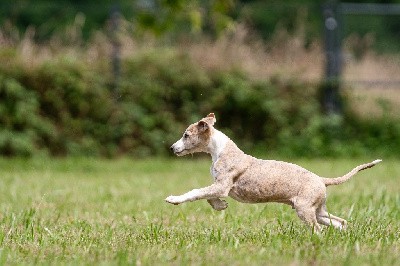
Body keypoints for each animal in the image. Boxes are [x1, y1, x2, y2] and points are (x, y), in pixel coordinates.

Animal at [165, 113, 382, 232]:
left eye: (186, 135)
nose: (172, 148)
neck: (219, 150)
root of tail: (321, 179)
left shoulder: (222, 185)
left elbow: (195, 192)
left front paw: (174, 199)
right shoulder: (219, 186)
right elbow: (208, 196)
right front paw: (221, 206)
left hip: (305, 209)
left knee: (318, 229)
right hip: (317, 209)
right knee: (339, 222)